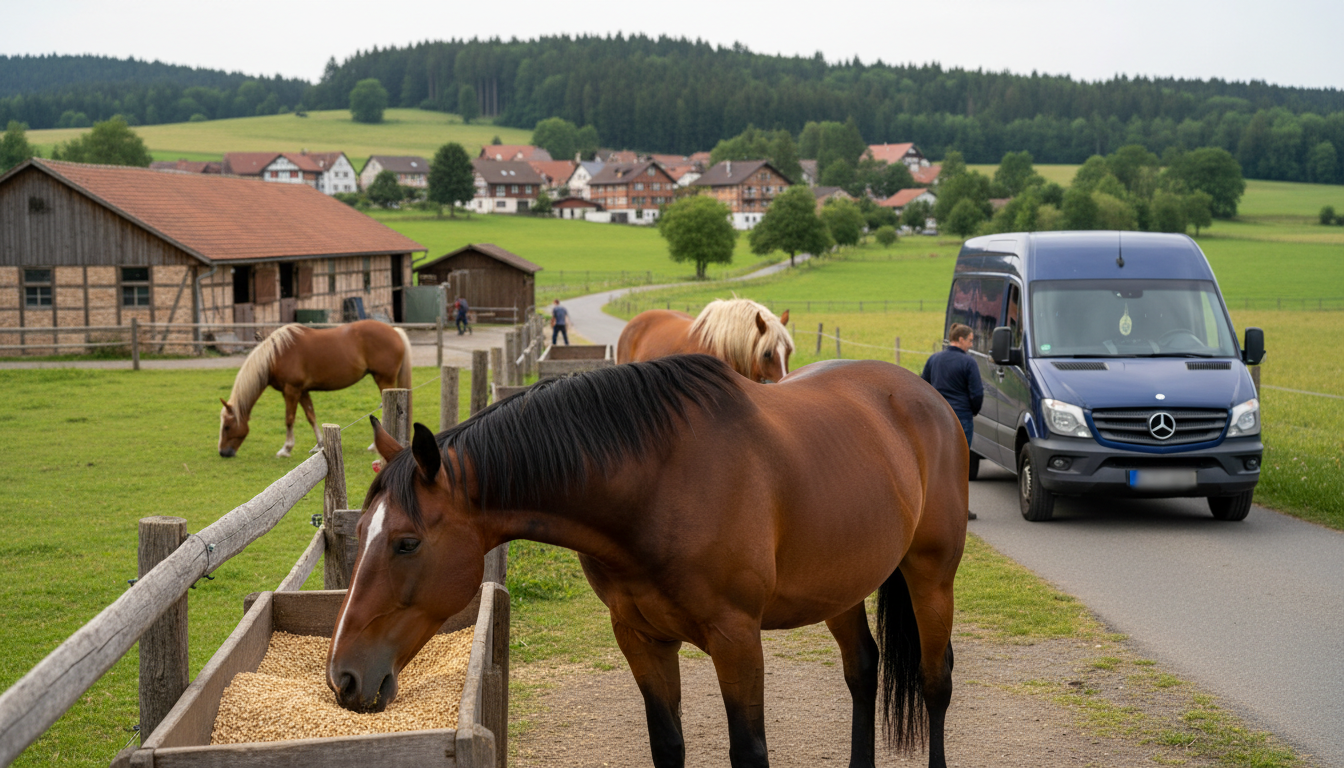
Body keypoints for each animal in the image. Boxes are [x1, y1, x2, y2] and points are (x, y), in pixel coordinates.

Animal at [217, 320, 412, 458]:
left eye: (227, 427)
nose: (223, 452)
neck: (276, 355)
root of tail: (394, 331)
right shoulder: (302, 391)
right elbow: (311, 416)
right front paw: (320, 445)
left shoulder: (291, 390)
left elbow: (289, 419)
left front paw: (286, 449)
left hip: (384, 380)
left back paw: (374, 445)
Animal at [327, 355, 968, 768]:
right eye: (358, 531)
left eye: (407, 542)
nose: (344, 677)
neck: (657, 485)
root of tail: (922, 395)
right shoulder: (640, 637)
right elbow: (668, 745)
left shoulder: (737, 639)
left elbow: (749, 751)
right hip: (840, 587)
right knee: (863, 669)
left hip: (931, 576)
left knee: (935, 681)